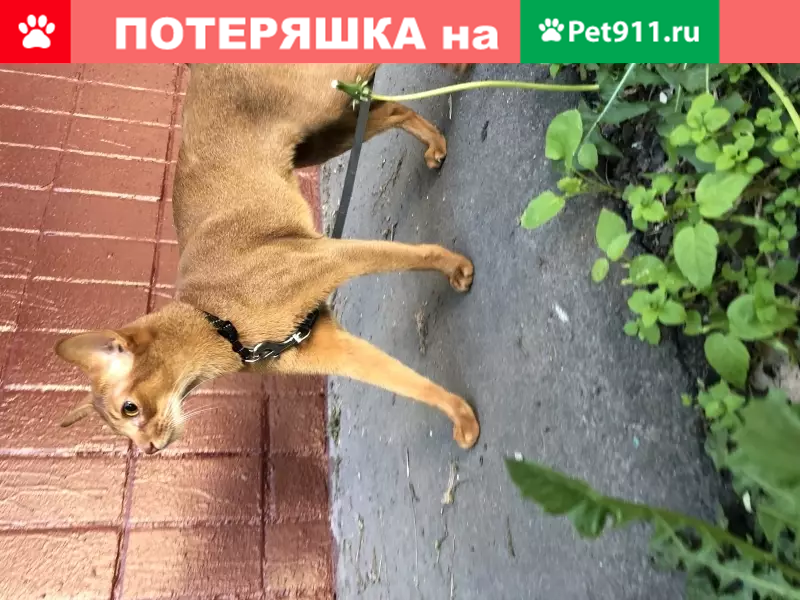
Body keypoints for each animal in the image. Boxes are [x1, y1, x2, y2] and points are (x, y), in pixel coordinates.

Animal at [54, 64, 480, 454]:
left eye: (129, 408)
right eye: (118, 430)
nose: (147, 449)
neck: (221, 323)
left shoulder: (328, 255)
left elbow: (415, 254)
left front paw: (457, 268)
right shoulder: (327, 345)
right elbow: (409, 384)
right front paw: (460, 415)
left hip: (326, 96)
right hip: (323, 137)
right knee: (392, 109)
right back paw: (435, 143)